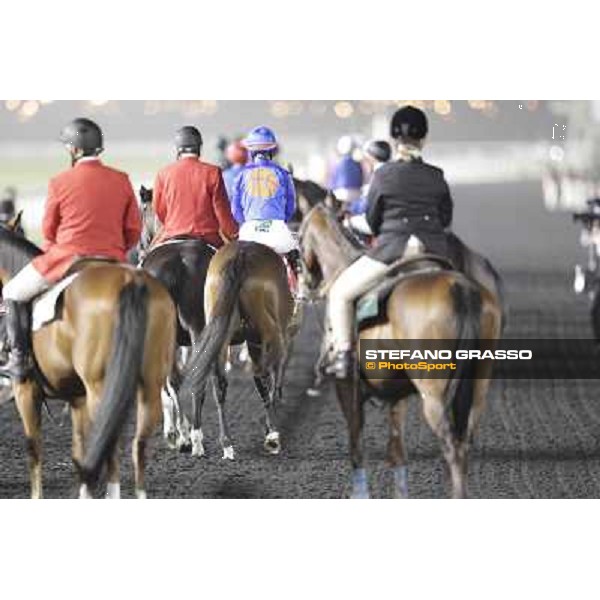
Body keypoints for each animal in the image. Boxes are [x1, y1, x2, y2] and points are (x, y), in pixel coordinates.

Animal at [0, 225, 176, 496]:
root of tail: (130, 280)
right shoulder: (77, 398)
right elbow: (80, 450)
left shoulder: (25, 390)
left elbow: (34, 448)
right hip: (149, 385)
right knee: (138, 445)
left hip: (99, 388)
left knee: (111, 440)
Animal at [178, 239, 300, 460]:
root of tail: (239, 256)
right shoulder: (272, 338)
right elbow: (272, 376)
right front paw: (270, 429)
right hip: (263, 332)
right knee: (262, 374)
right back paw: (272, 437)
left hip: (219, 330)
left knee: (219, 381)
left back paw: (225, 444)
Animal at [298, 199, 504, 500]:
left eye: (298, 237)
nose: (304, 289)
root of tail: (461, 289)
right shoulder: (397, 396)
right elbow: (397, 453)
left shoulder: (347, 389)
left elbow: (356, 448)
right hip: (478, 387)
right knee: (465, 441)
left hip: (433, 395)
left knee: (452, 447)